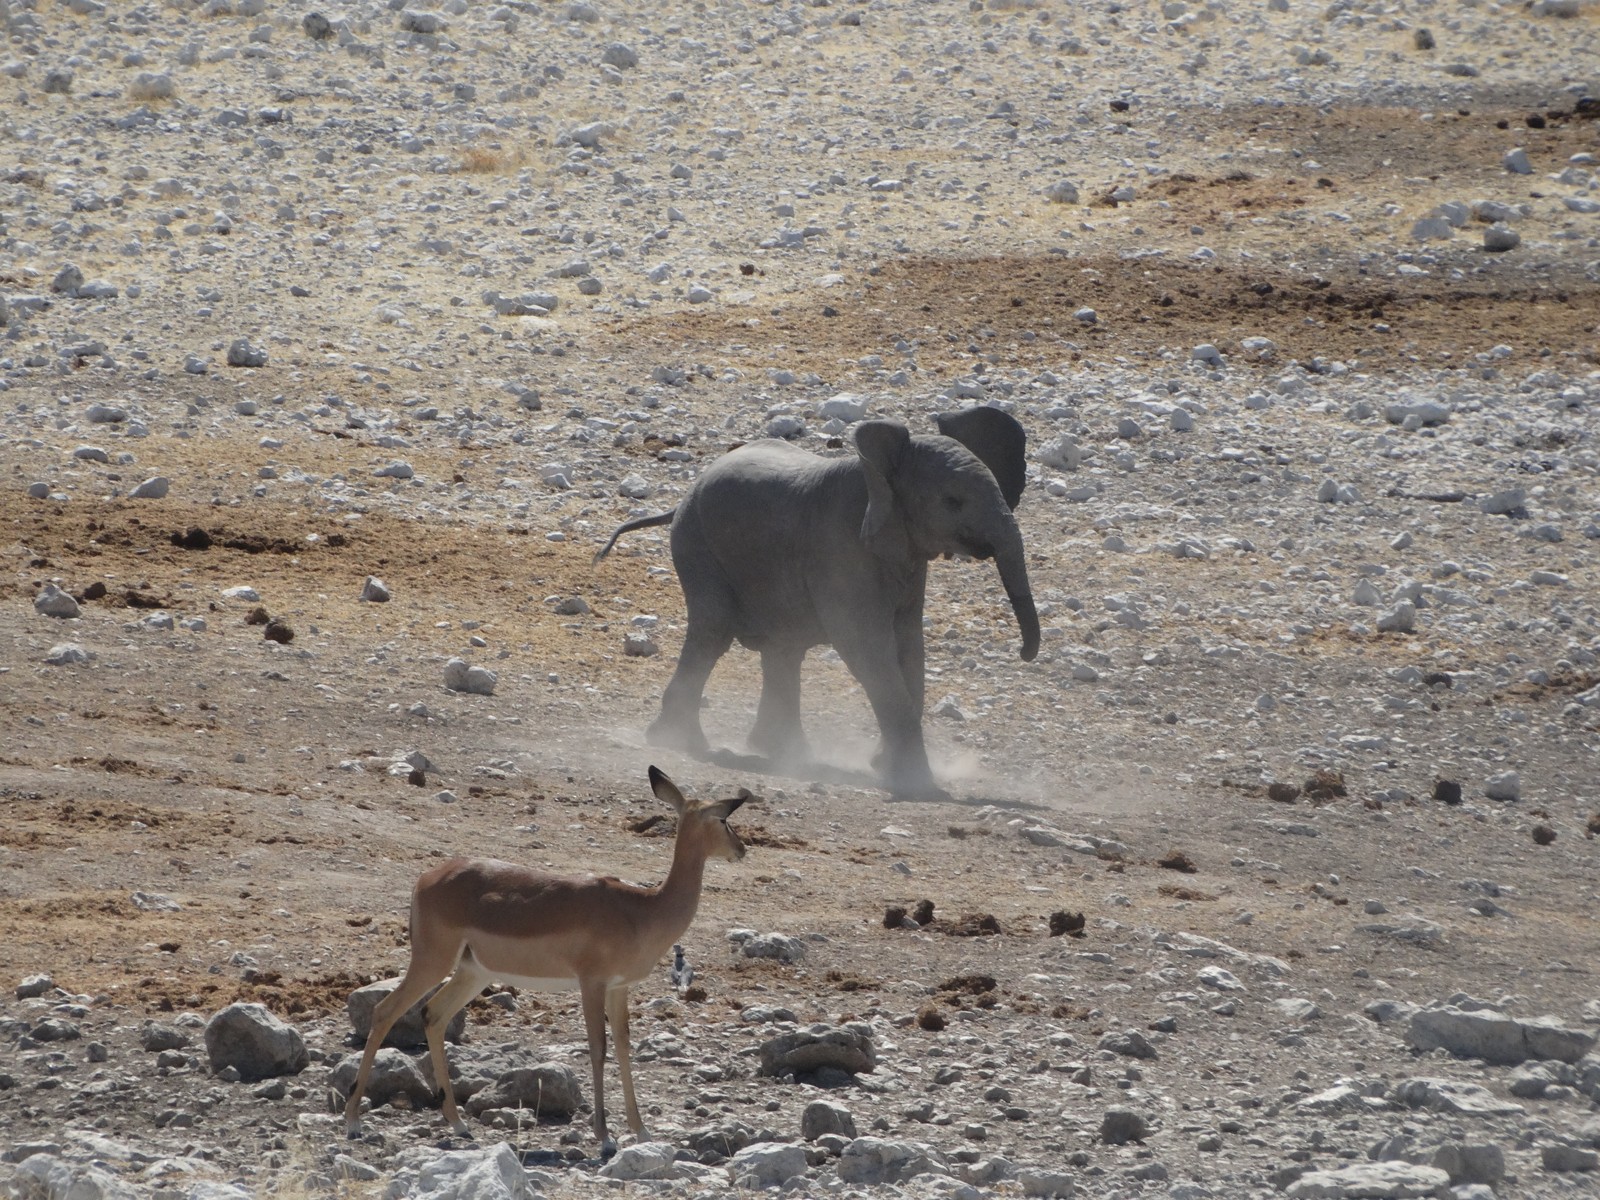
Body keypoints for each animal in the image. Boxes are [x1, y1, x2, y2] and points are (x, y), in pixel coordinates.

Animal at [595, 407, 1038, 800]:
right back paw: (680, 742)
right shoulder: (841, 545)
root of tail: (685, 493)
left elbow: (909, 645)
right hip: (696, 543)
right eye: (952, 501)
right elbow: (865, 645)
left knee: (783, 648)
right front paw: (915, 785)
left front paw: (883, 766)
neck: (881, 470)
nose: (1024, 653)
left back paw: (779, 753)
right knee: (714, 632)